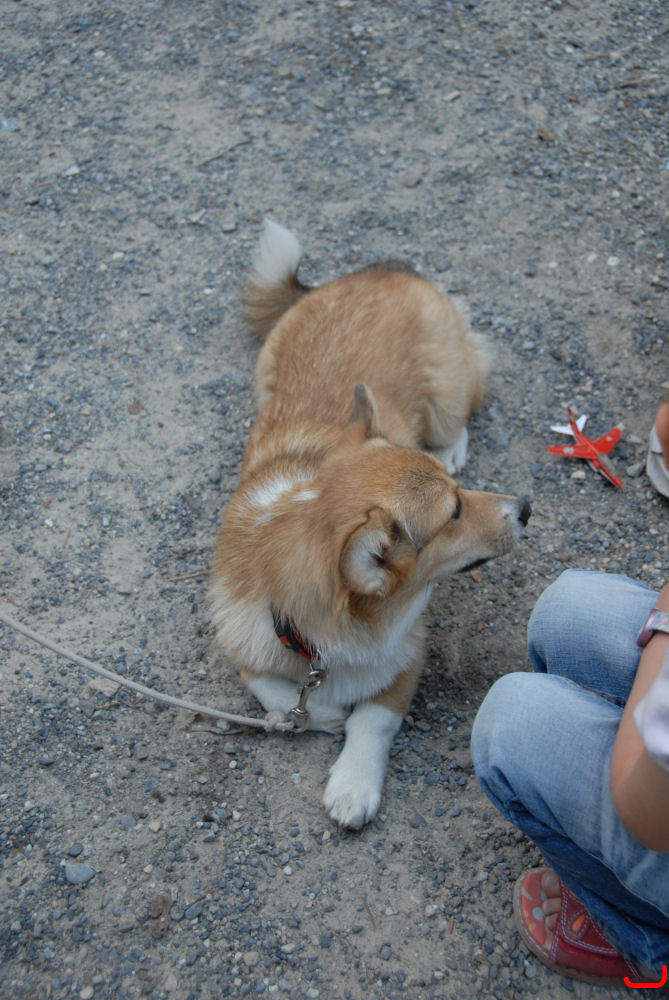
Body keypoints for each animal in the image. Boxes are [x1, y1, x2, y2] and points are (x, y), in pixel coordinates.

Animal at [210, 221, 530, 828]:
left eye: (458, 497)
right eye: (454, 513)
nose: (526, 508)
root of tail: (377, 273)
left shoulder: (408, 657)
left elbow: (371, 719)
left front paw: (353, 785)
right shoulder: (244, 649)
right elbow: (275, 692)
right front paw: (319, 712)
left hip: (447, 393)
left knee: (462, 412)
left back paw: (452, 447)